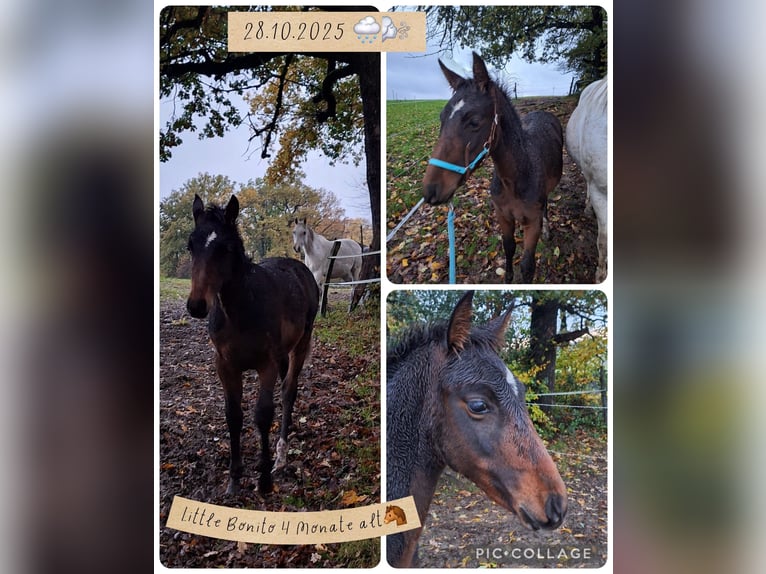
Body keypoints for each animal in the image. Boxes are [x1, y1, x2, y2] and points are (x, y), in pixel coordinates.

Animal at [186, 194, 319, 495]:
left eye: (225, 248)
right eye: (190, 245)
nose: (197, 305)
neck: (242, 310)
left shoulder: (265, 364)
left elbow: (262, 414)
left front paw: (265, 480)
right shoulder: (225, 365)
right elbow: (233, 415)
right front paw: (234, 478)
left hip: (301, 342)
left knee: (288, 390)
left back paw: (280, 455)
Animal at [423, 52, 563, 283]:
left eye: (474, 121)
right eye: (442, 118)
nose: (430, 191)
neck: (515, 179)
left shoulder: (532, 223)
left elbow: (527, 265)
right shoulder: (502, 216)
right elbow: (509, 247)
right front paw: (508, 278)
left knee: (546, 204)